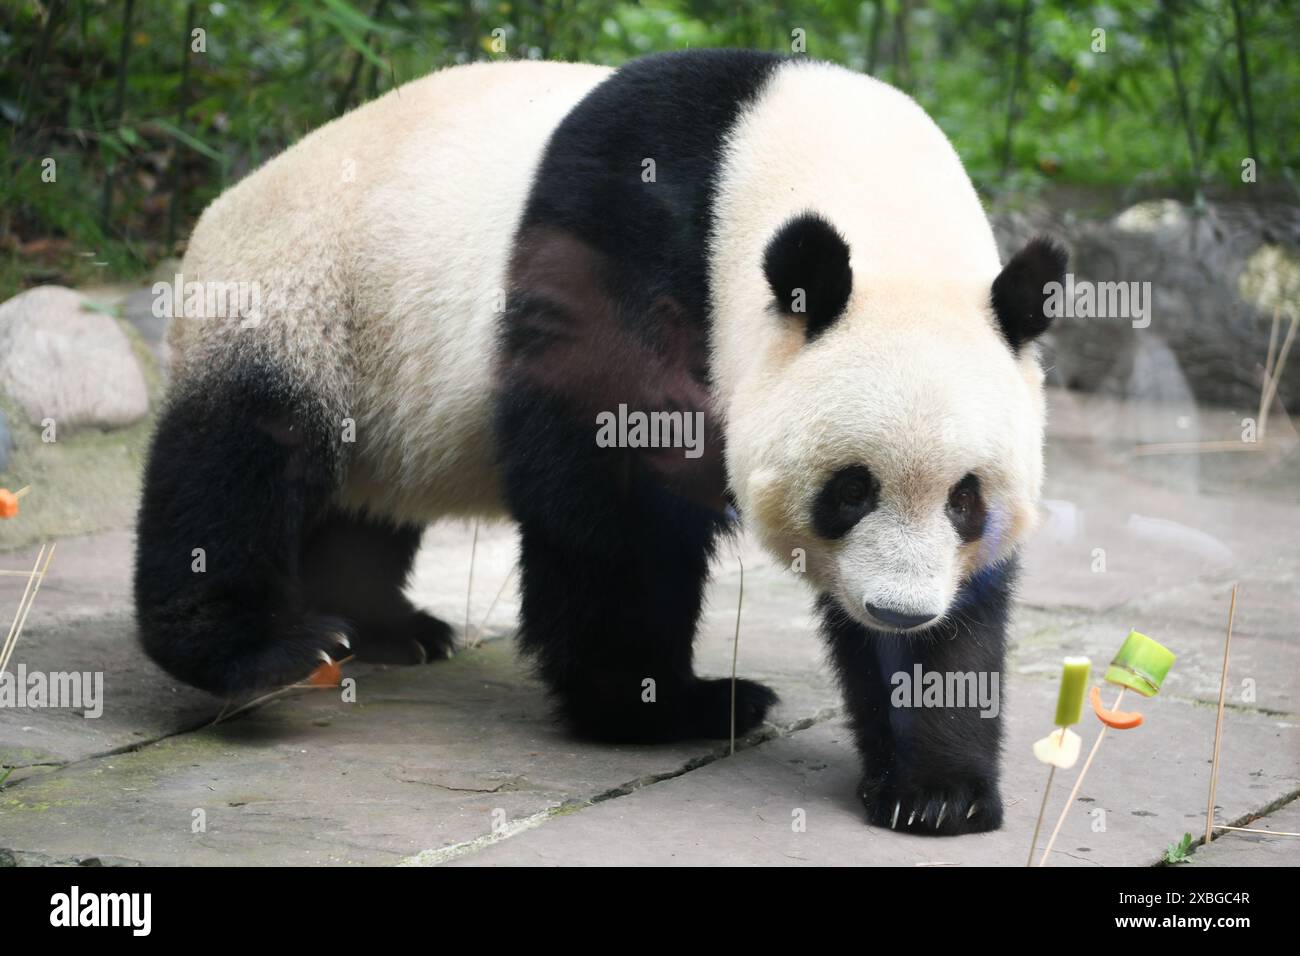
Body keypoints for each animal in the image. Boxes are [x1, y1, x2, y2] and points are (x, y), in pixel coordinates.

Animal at [134, 48, 1066, 832]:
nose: (898, 610)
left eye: (966, 499)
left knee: (362, 499)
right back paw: (273, 649)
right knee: (239, 462)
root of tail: (223, 205)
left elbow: (968, 610)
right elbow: (615, 491)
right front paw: (663, 705)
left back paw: (391, 628)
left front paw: (934, 788)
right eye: (850, 489)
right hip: (303, 297)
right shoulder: (637, 239)